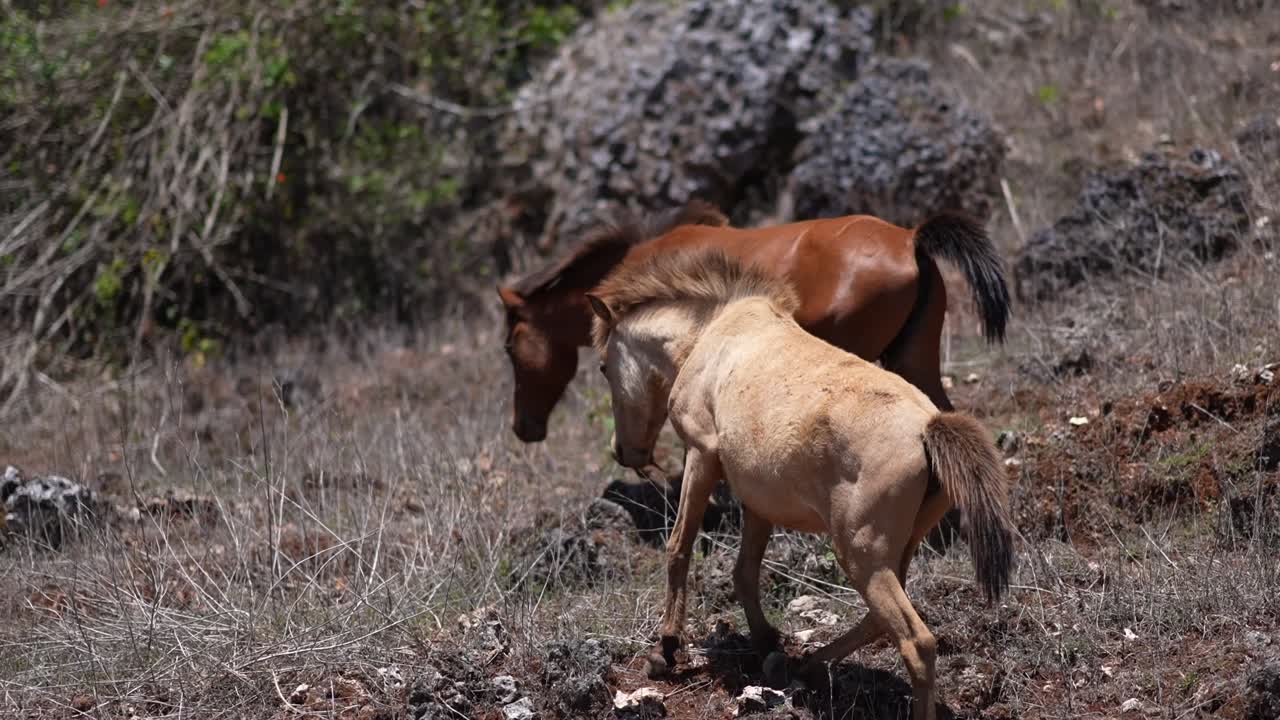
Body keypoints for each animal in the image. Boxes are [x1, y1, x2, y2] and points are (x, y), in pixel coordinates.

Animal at [586, 247, 1016, 720]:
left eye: (604, 366)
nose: (623, 451)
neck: (712, 334)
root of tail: (929, 428)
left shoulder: (700, 455)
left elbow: (678, 549)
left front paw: (664, 651)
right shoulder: (757, 498)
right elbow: (744, 572)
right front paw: (767, 647)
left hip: (861, 556)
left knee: (916, 643)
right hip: (894, 553)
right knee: (876, 621)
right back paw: (806, 666)